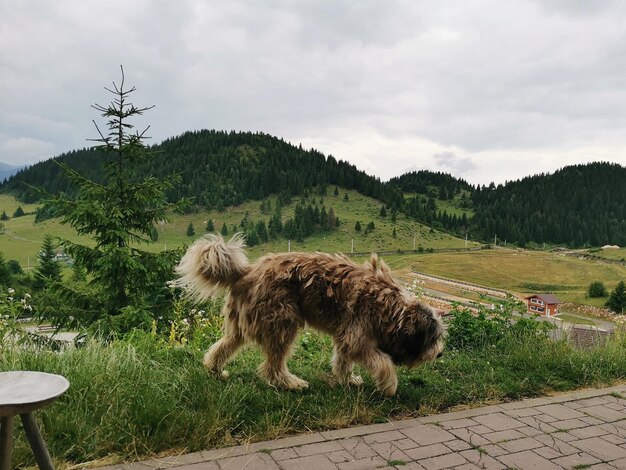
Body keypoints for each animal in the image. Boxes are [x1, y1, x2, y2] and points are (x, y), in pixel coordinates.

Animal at [174, 235, 444, 396]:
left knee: (223, 346)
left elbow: (343, 360)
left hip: (243, 322)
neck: (391, 308)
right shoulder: (358, 338)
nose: (440, 353)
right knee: (273, 366)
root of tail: (246, 272)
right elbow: (383, 362)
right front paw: (389, 386)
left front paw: (347, 380)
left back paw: (215, 370)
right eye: (432, 338)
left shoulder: (346, 338)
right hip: (281, 322)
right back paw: (290, 383)